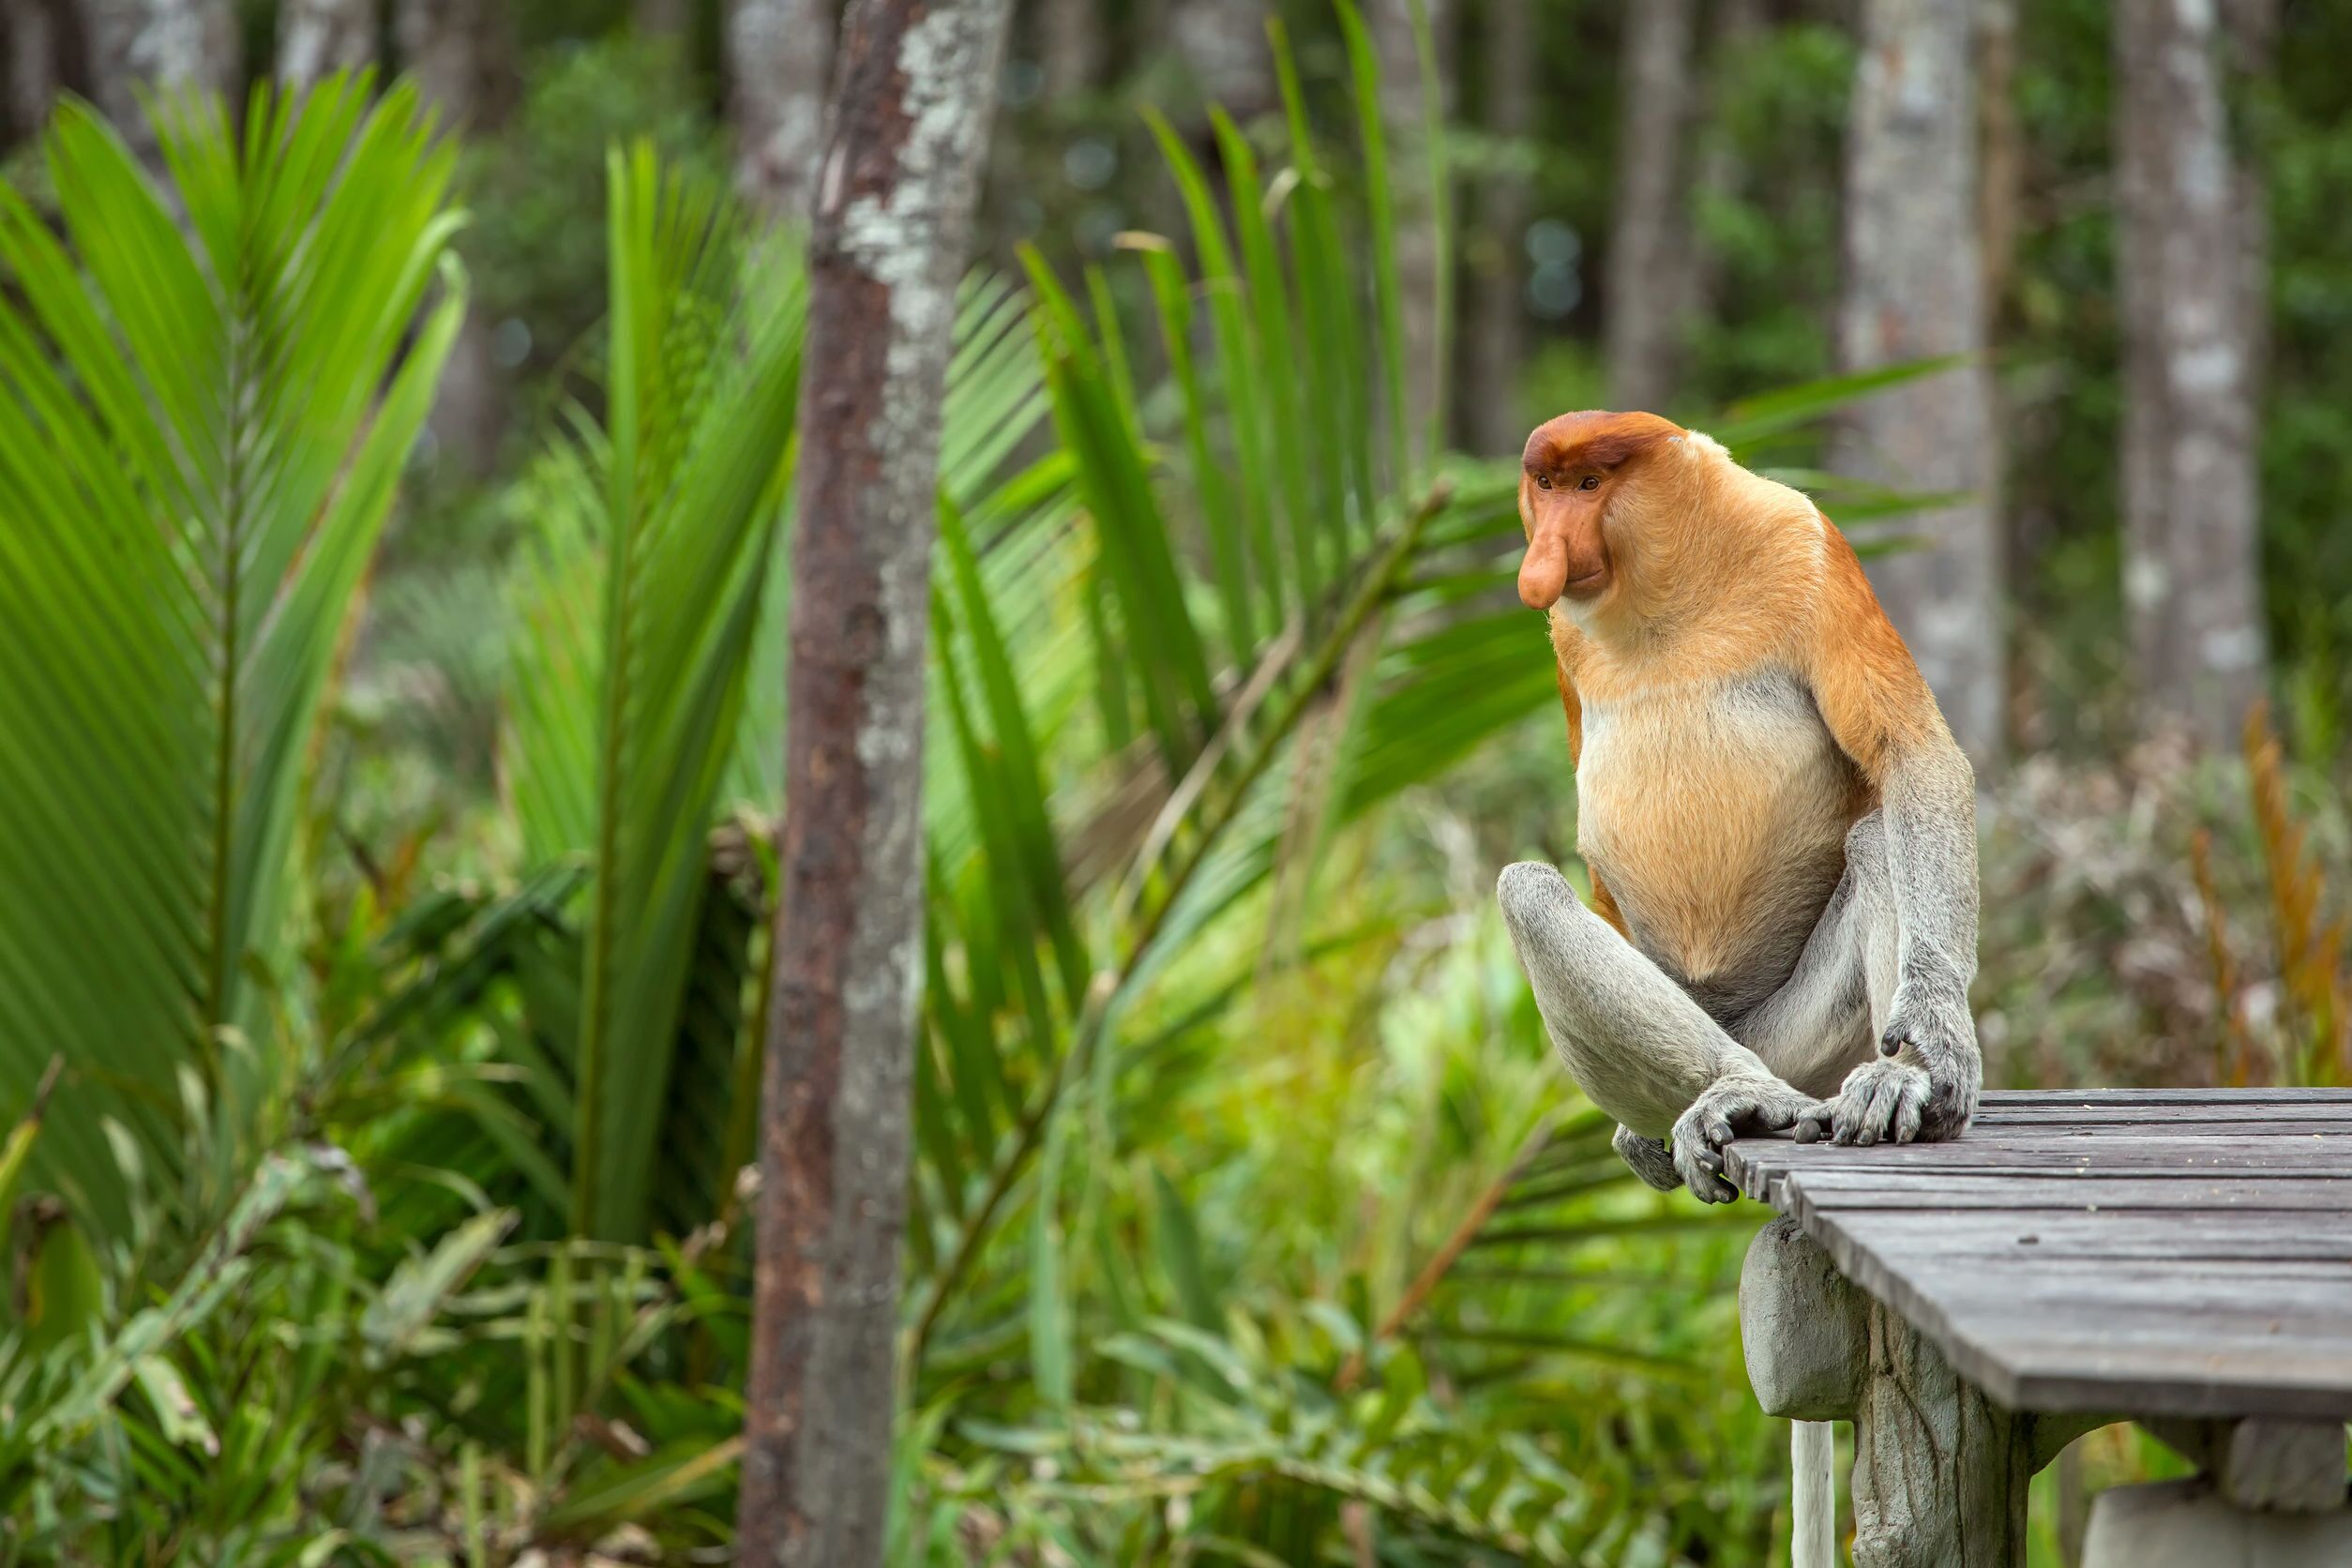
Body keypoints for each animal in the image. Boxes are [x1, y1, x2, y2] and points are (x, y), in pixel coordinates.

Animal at [1494, 410, 1981, 1203]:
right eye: (1546, 485)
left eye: (1590, 485)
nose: (1545, 559)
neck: (1668, 588)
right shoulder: (1563, 637)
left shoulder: (1809, 549)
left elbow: (1908, 753)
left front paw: (1935, 1042)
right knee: (1528, 891)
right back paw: (1734, 1092)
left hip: (1802, 1044)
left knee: (1877, 841)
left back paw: (1885, 1084)